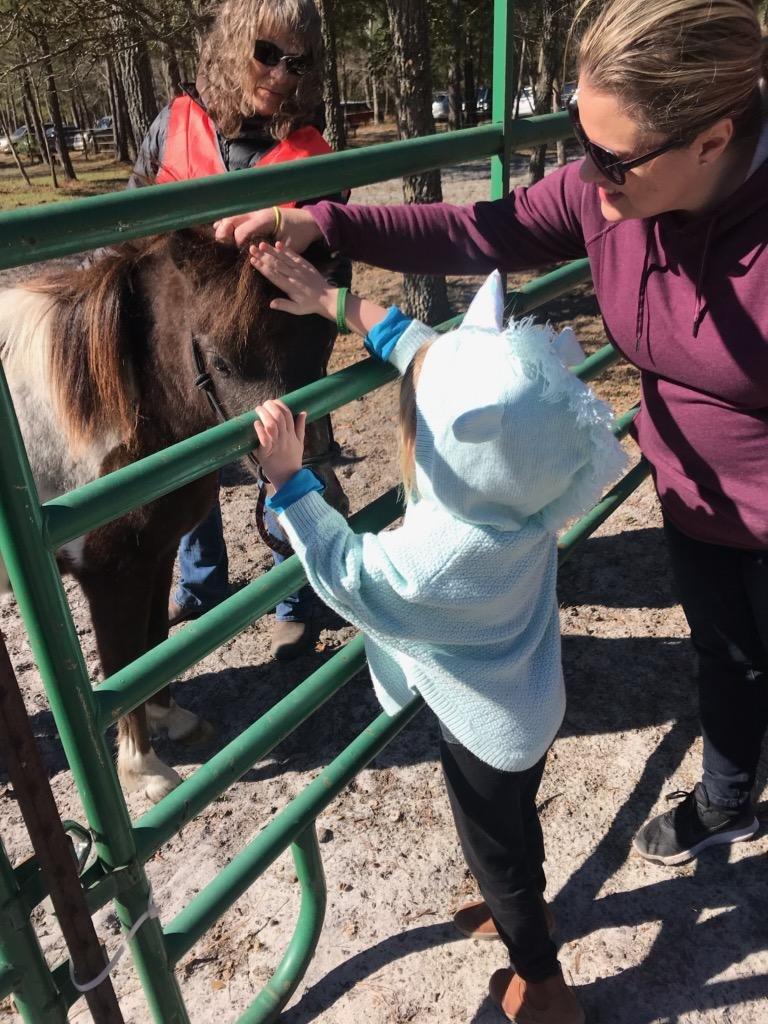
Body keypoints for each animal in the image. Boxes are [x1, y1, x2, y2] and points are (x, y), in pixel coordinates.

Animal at [0, 232, 346, 798]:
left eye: (321, 350)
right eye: (221, 363)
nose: (324, 495)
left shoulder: (157, 554)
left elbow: (152, 647)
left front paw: (172, 719)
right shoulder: (111, 577)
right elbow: (122, 666)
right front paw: (144, 770)